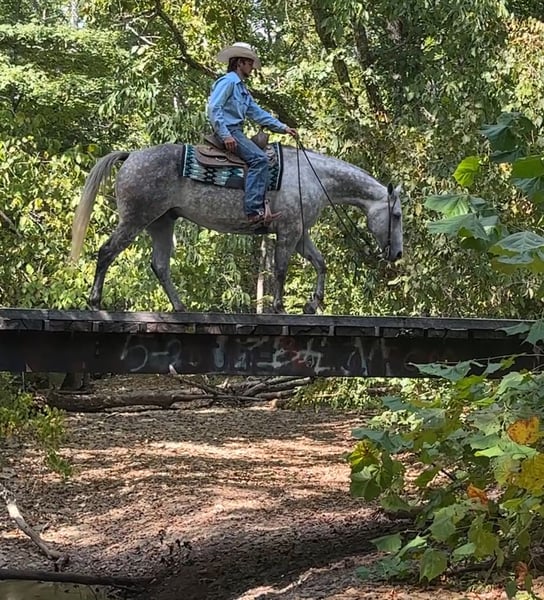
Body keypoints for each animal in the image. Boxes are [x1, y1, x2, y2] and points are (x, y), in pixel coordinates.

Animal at [70, 143, 403, 313]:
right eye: (397, 215)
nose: (398, 254)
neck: (312, 176)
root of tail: (131, 156)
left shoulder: (299, 233)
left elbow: (320, 263)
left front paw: (313, 303)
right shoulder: (289, 231)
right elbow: (281, 269)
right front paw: (280, 307)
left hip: (161, 222)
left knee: (160, 265)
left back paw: (180, 307)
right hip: (135, 219)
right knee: (106, 251)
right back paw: (95, 302)